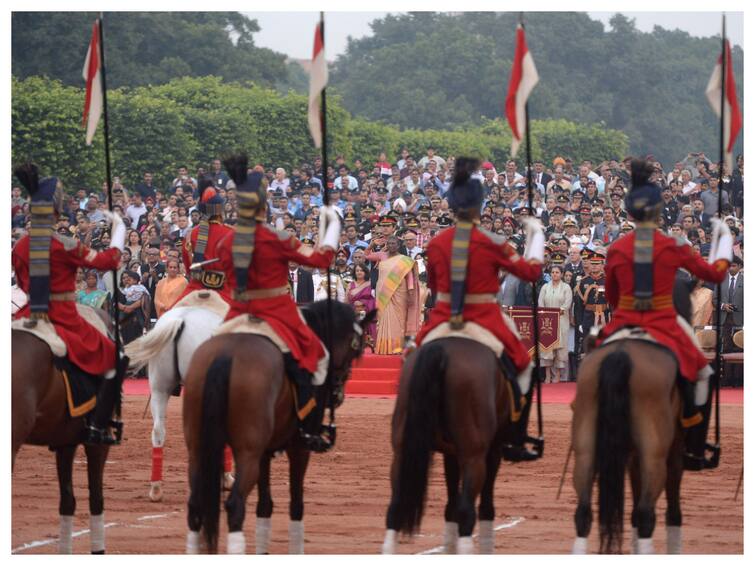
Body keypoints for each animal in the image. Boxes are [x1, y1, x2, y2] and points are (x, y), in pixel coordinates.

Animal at [181, 304, 376, 556]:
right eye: (355, 349)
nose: (338, 394)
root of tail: (225, 355)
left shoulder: (264, 453)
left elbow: (265, 505)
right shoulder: (299, 448)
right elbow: (296, 504)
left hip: (199, 451)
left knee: (196, 504)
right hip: (247, 454)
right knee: (235, 505)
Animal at [380, 340, 524, 556]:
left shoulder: (451, 453)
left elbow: (451, 504)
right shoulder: (492, 450)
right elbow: (484, 505)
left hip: (402, 452)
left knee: (395, 507)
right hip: (474, 456)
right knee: (467, 511)